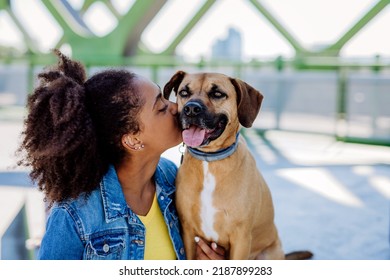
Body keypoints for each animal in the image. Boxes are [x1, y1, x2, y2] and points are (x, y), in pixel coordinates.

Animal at [163, 71, 312, 260]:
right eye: (184, 92)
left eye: (217, 93)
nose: (191, 109)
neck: (209, 161)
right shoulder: (187, 232)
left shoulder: (241, 238)